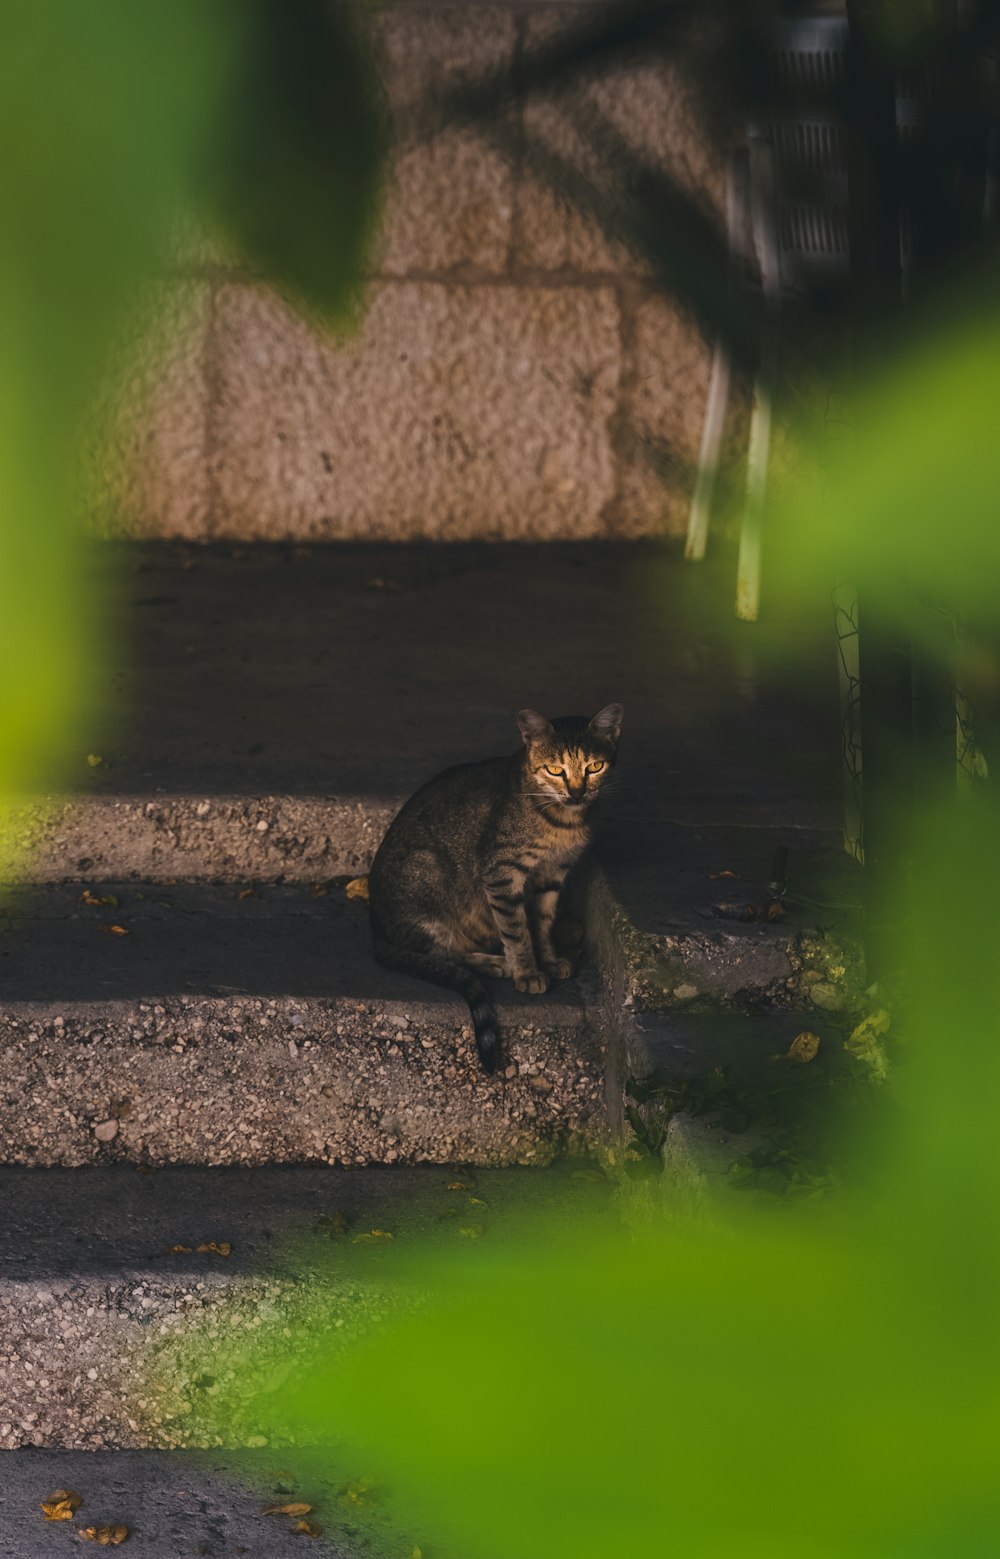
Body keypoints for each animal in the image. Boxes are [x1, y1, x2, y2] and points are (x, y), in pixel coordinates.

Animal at [368, 707, 617, 1072]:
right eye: (555, 770)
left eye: (594, 767)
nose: (576, 794)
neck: (562, 824)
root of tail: (375, 927)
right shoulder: (502, 874)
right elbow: (517, 930)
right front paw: (527, 971)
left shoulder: (552, 876)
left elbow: (543, 922)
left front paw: (550, 959)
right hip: (427, 876)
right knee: (440, 953)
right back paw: (495, 963)